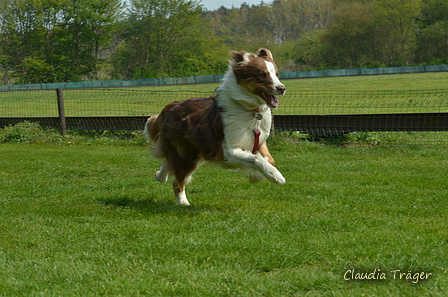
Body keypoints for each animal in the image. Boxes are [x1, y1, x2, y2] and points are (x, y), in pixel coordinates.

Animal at [144, 49, 288, 206]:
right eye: (262, 74)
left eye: (277, 74)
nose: (282, 88)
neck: (250, 111)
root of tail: (173, 105)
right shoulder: (226, 151)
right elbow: (256, 159)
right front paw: (276, 176)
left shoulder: (258, 141)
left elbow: (268, 159)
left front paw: (256, 176)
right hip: (187, 156)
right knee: (177, 182)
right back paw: (183, 203)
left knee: (168, 164)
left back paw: (160, 176)